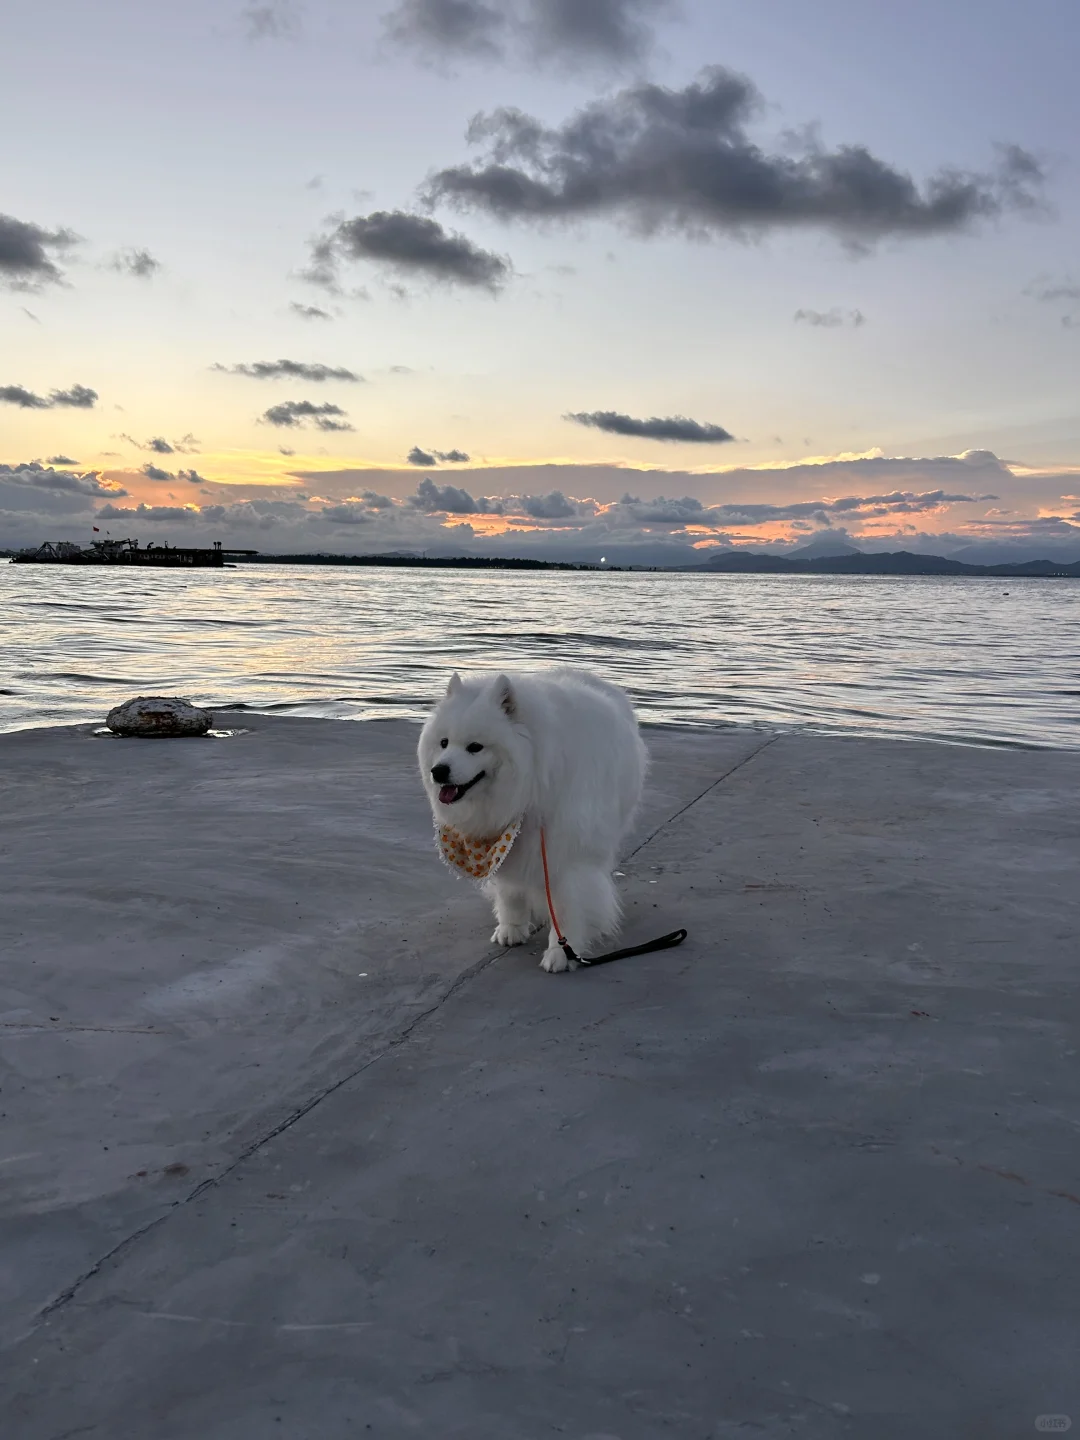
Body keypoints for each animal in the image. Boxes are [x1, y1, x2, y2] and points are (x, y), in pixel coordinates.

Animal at [417, 668, 648, 973]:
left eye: (475, 747)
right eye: (443, 743)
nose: (439, 771)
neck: (531, 786)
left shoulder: (566, 857)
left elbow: (567, 908)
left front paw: (562, 952)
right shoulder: (511, 848)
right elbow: (511, 893)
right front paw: (512, 929)